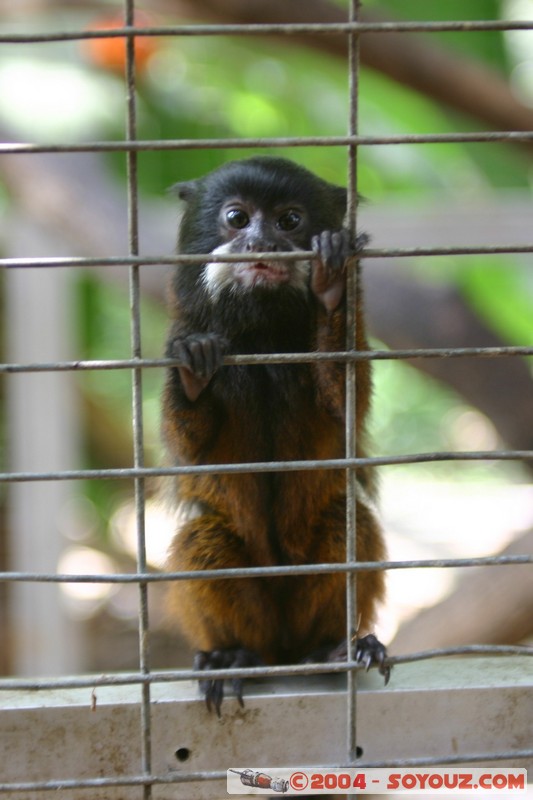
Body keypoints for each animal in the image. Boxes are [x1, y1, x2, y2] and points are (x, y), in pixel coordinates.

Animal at [160, 156, 388, 712]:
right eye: (237, 218)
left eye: (289, 221)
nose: (260, 242)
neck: (261, 331)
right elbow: (190, 447)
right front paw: (193, 371)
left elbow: (345, 403)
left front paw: (331, 283)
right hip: (258, 619)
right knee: (202, 538)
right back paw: (232, 657)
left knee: (349, 522)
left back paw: (332, 649)